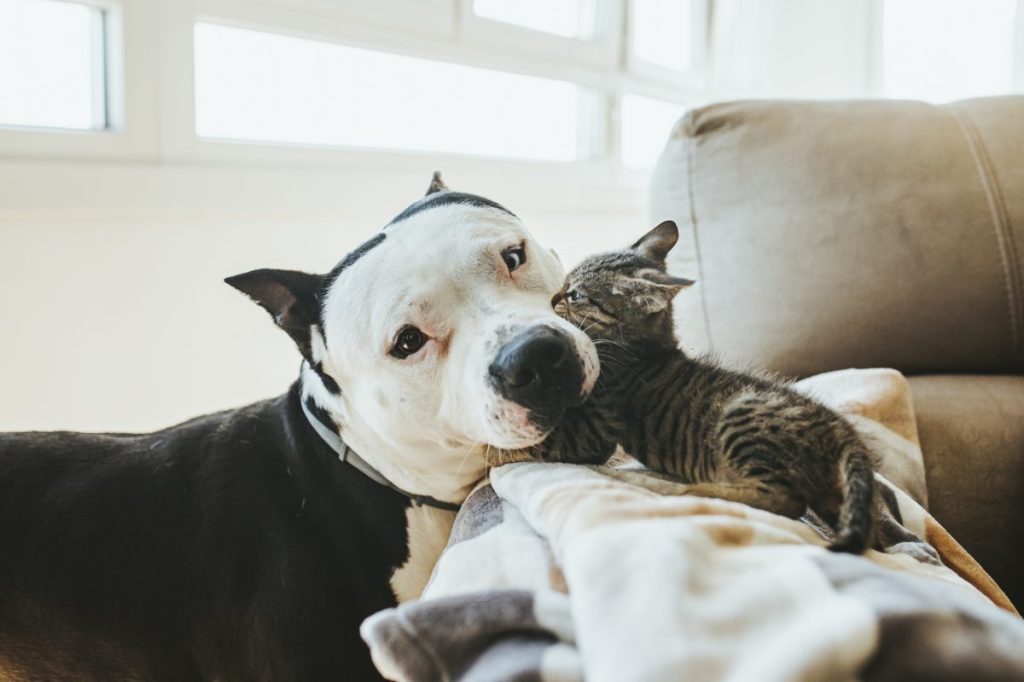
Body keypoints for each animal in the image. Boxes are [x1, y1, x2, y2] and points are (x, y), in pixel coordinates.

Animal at [528, 222, 872, 552]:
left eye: (574, 295)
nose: (552, 298)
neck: (641, 349)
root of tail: (845, 434)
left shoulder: (595, 432)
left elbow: (544, 443)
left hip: (740, 415)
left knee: (783, 501)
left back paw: (682, 488)